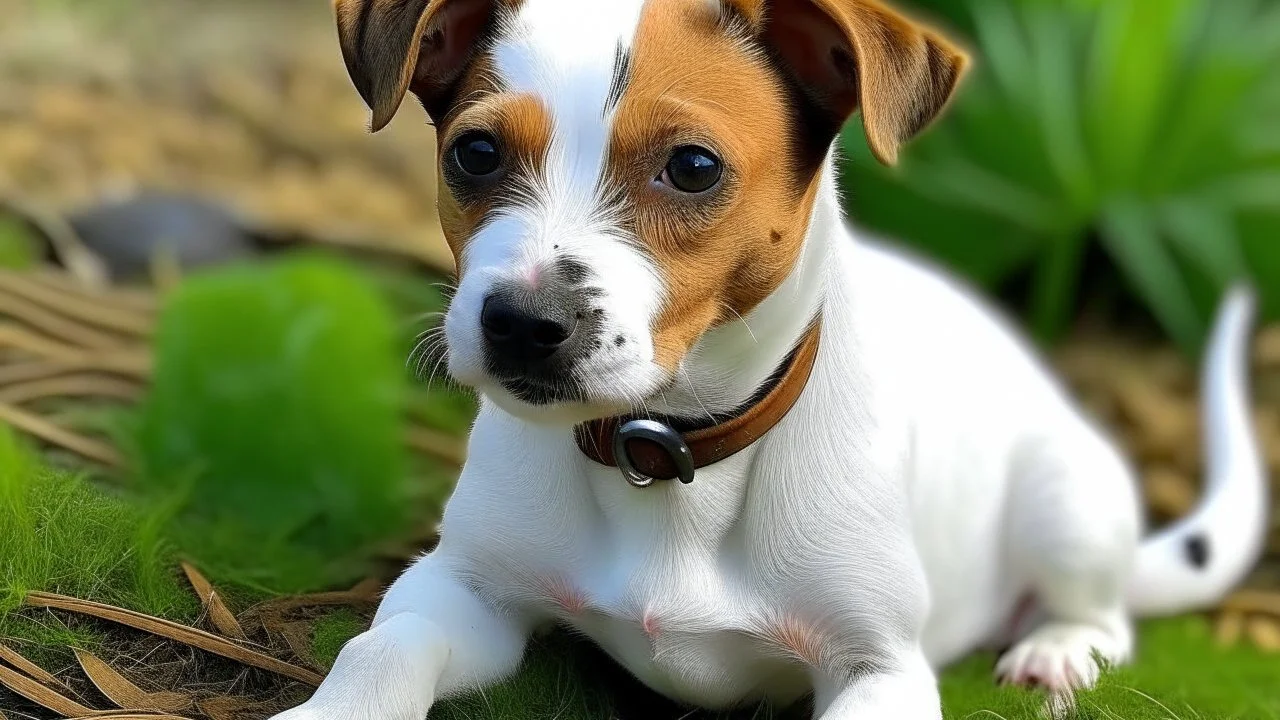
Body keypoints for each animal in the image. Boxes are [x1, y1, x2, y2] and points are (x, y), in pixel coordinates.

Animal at [272, 1, 1269, 717]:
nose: (521, 323)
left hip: (1067, 496)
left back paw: (1057, 648)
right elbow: (379, 650)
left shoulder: (878, 669)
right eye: (475, 152)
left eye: (693, 167)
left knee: (1103, 612)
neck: (669, 453)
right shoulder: (463, 590)